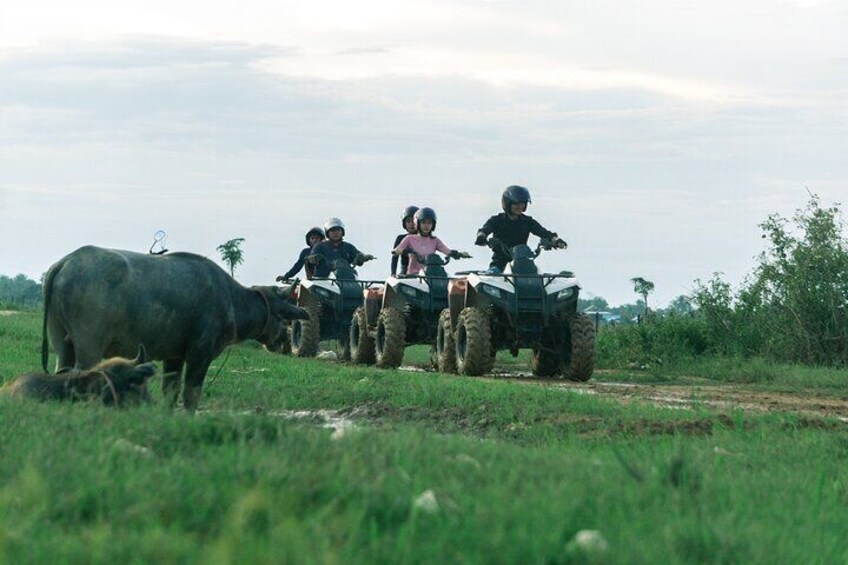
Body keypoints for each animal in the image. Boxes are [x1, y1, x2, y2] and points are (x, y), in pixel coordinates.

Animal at [41, 247, 310, 410]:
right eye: (283, 316)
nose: (283, 341)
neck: (231, 301)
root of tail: (65, 262)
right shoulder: (199, 354)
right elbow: (191, 394)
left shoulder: (174, 357)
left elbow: (170, 392)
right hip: (89, 345)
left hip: (61, 341)